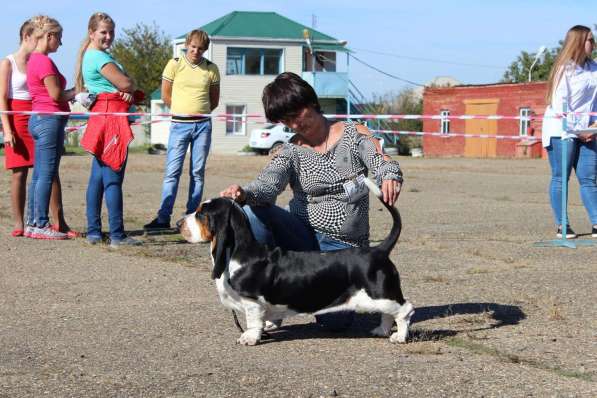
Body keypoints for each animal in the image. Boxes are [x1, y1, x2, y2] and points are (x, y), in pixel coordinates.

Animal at [177, 178, 410, 346]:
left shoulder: (251, 301)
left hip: (379, 294)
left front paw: (249, 338)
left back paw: (399, 336)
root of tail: (378, 250)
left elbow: (252, 322)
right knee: (389, 314)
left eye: (201, 214)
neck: (240, 251)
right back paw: (381, 331)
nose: (178, 223)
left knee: (404, 310)